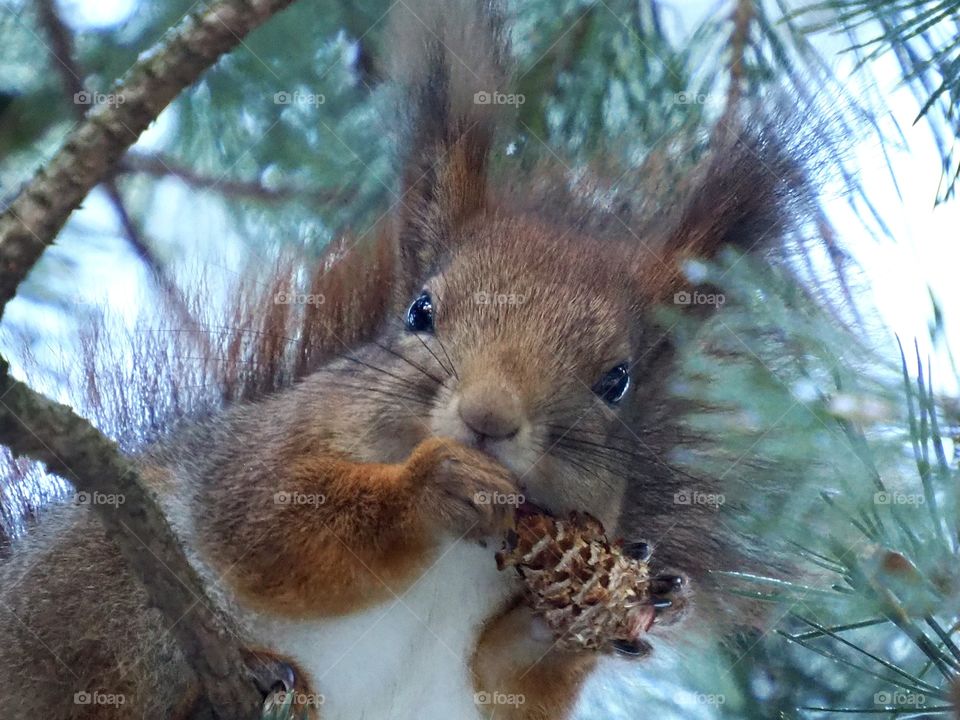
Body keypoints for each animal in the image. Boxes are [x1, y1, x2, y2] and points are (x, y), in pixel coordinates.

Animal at [0, 1, 823, 719]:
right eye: (419, 312)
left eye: (616, 381)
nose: (488, 418)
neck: (464, 554)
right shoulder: (258, 456)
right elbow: (270, 529)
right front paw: (432, 486)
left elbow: (511, 684)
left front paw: (626, 605)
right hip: (106, 591)